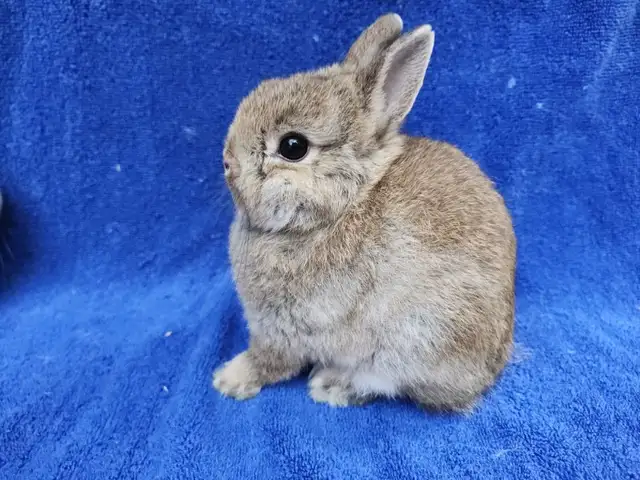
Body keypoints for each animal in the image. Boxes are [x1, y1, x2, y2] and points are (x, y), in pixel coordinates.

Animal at [213, 13, 516, 411]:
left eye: (293, 146)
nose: (227, 163)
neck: (338, 209)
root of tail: (487, 372)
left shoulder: (284, 330)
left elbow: (268, 361)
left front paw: (229, 380)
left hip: (413, 341)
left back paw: (332, 385)